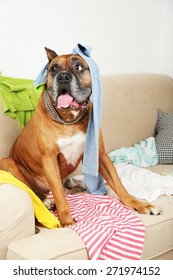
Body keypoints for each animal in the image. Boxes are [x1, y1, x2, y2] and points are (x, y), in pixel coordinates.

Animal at [0, 48, 162, 226]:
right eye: (53, 69)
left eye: (78, 67)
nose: (63, 77)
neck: (69, 120)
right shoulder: (49, 158)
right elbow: (58, 194)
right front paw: (66, 220)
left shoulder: (99, 154)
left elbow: (118, 183)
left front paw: (139, 204)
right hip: (8, 162)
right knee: (36, 190)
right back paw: (46, 201)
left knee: (60, 188)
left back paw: (74, 188)